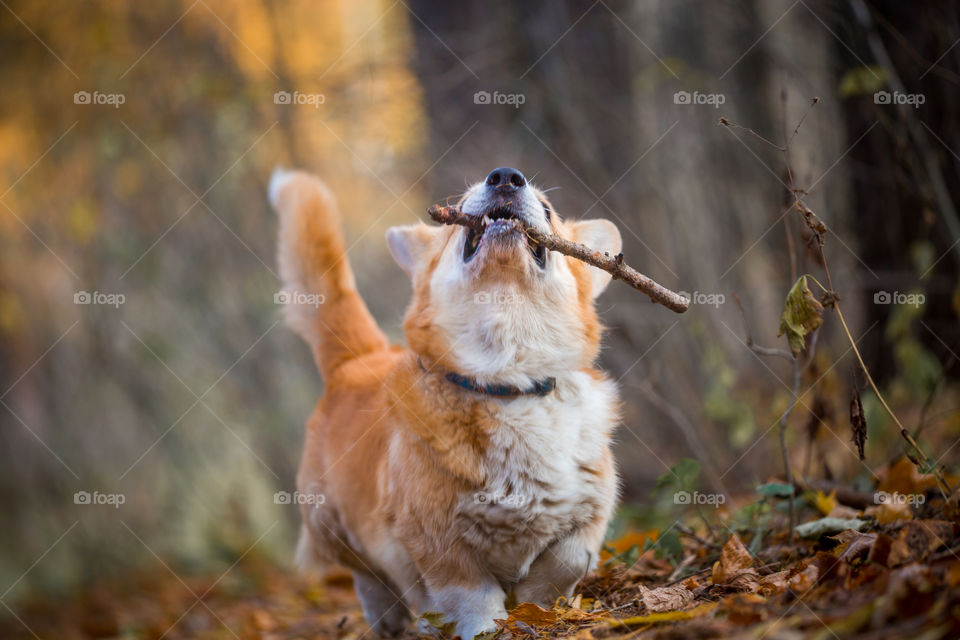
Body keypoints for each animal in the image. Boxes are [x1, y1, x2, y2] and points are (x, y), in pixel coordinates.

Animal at [270, 166, 624, 640]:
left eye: (548, 210)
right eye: (457, 211)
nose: (506, 177)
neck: (506, 382)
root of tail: (358, 359)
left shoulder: (589, 511)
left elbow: (568, 561)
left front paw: (536, 608)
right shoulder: (438, 540)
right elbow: (471, 595)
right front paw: (489, 628)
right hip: (331, 525)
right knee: (370, 577)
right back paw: (393, 619)